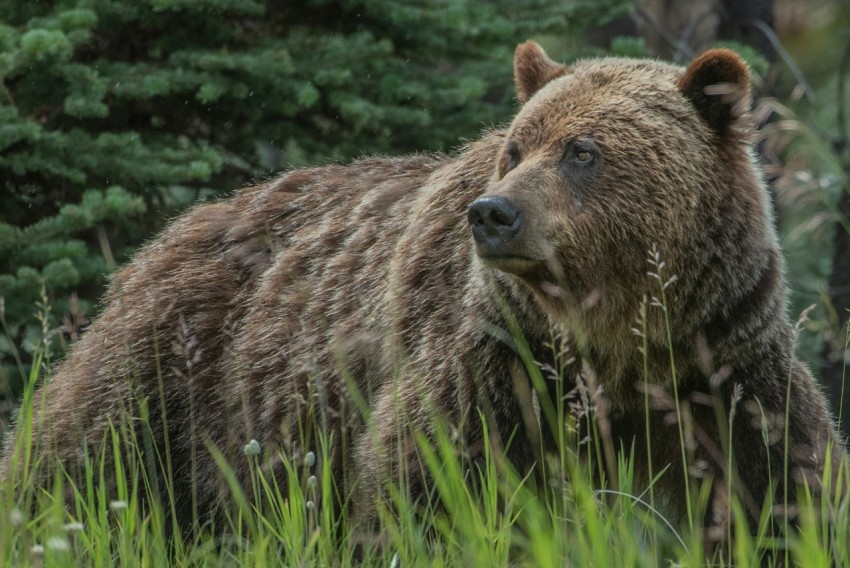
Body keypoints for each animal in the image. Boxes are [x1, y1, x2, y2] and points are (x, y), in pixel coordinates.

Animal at [2, 41, 845, 541]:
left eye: (583, 150)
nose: (494, 213)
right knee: (79, 457)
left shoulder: (720, 356)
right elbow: (435, 472)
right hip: (177, 365)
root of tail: (166, 236)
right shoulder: (503, 357)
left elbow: (782, 479)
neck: (615, 330)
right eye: (517, 146)